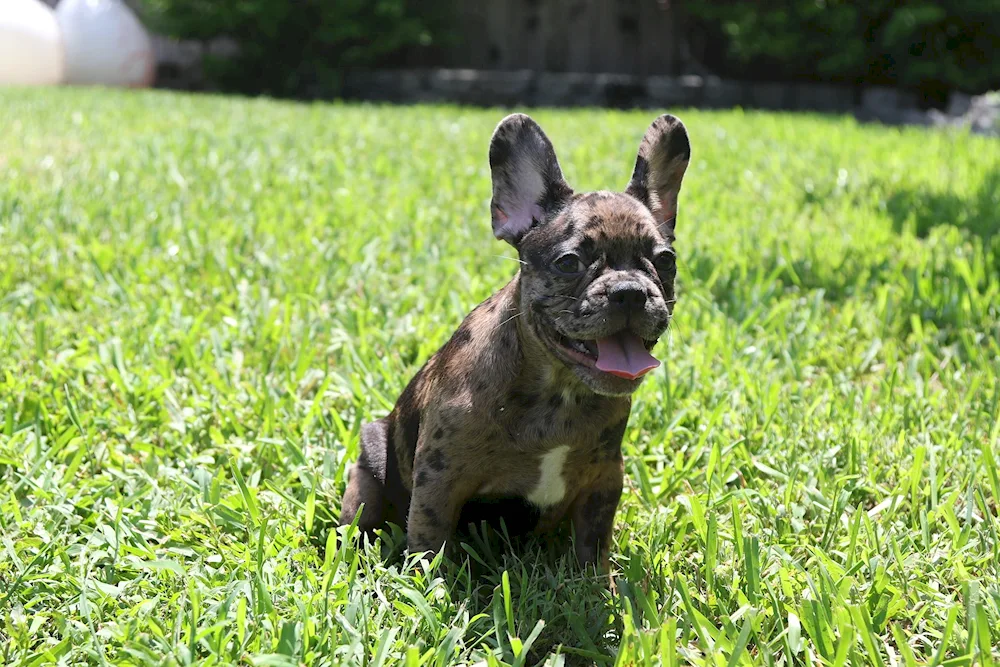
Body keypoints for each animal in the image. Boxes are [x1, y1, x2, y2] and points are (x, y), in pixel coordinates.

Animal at [340, 112, 692, 572]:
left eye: (665, 260)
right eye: (569, 263)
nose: (630, 291)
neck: (560, 392)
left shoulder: (604, 478)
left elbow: (593, 541)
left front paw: (597, 582)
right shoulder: (440, 479)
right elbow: (431, 542)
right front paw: (433, 585)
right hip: (368, 467)